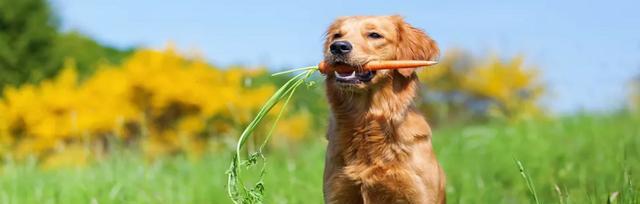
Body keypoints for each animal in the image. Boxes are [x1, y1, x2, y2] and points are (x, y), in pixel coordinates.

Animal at [324, 15, 444, 203]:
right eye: (337, 35)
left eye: (374, 35)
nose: (337, 46)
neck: (366, 121)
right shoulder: (338, 192)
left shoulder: (418, 194)